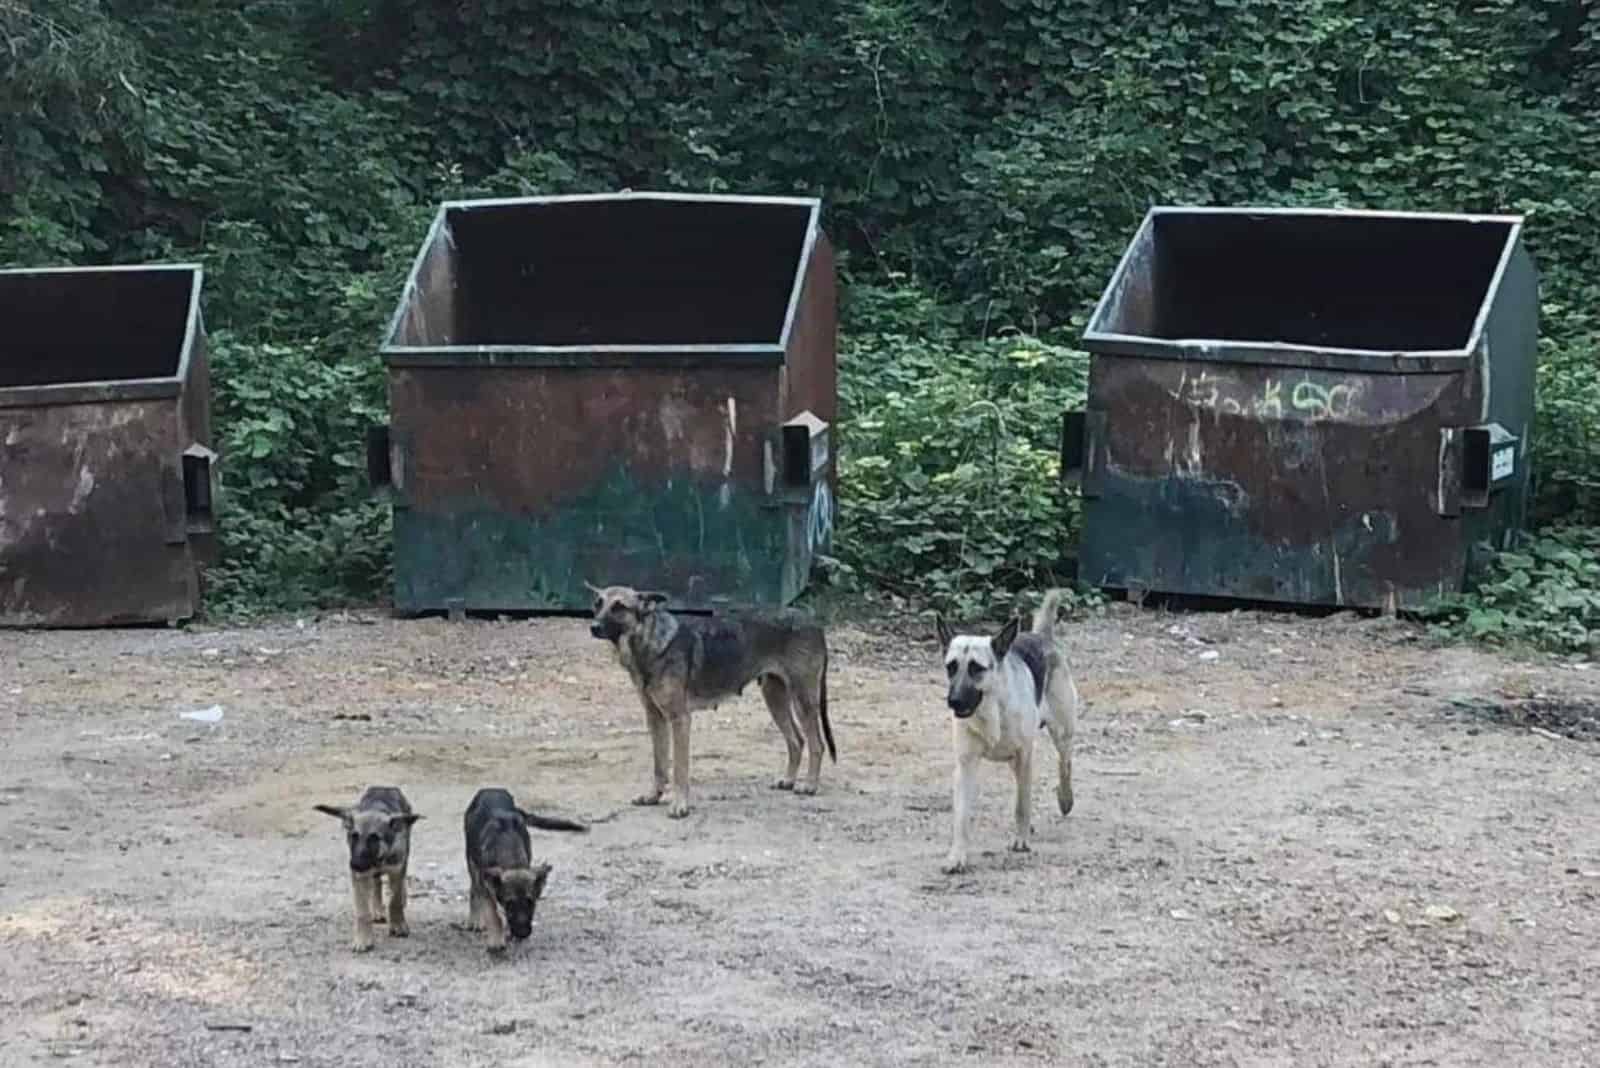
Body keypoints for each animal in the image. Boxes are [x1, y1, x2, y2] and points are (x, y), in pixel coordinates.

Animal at [312, 783, 422, 952]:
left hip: (406, 853)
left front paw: (398, 925)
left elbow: (394, 900)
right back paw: (377, 909)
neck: (379, 860)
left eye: (374, 838)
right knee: (376, 883)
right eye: (354, 836)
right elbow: (362, 911)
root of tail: (385, 787)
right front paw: (363, 939)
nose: (355, 864)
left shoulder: (396, 868)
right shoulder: (359, 876)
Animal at [464, 783, 588, 952]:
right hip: (471, 860)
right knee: (473, 888)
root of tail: (491, 788)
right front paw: (496, 940)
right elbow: (493, 914)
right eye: (509, 903)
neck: (510, 853)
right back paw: (475, 919)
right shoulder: (486, 882)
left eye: (531, 901)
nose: (522, 934)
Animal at [588, 585, 838, 818]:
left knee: (817, 744)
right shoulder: (655, 719)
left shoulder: (680, 719)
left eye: (619, 607)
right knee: (796, 740)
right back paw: (788, 780)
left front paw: (680, 805)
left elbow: (679, 769)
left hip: (803, 700)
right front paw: (653, 796)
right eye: (597, 603)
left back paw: (810, 785)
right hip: (774, 698)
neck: (651, 642)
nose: (593, 627)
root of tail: (814, 622)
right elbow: (659, 766)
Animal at [934, 588, 1081, 869]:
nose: (953, 701)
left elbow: (1022, 804)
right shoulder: (966, 764)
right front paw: (957, 855)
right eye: (951, 667)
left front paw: (1021, 840)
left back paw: (1065, 799)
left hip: (1061, 733)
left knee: (1065, 764)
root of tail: (1042, 636)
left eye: (976, 668)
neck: (991, 709)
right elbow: (961, 817)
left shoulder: (1024, 755)